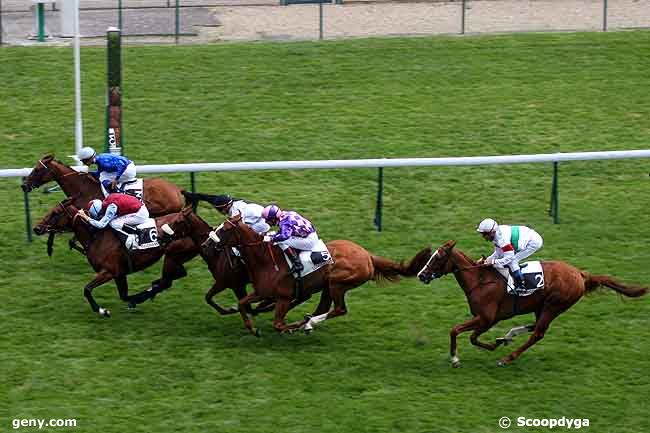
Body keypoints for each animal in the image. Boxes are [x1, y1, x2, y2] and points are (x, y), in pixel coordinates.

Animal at [33, 199, 199, 318]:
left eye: (55, 213)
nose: (36, 228)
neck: (96, 237)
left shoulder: (109, 271)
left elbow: (87, 289)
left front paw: (102, 310)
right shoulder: (119, 273)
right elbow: (124, 295)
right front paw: (134, 299)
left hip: (172, 256)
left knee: (167, 281)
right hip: (175, 257)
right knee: (174, 277)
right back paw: (151, 289)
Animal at [209, 215, 430, 334]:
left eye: (225, 229)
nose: (208, 242)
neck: (265, 260)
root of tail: (368, 256)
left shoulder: (283, 297)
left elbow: (278, 324)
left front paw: (292, 327)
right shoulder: (262, 292)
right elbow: (241, 303)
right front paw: (252, 328)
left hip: (337, 283)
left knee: (339, 309)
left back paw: (308, 323)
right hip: (327, 285)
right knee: (324, 307)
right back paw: (308, 322)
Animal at [416, 240, 648, 364]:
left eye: (437, 258)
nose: (421, 275)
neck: (480, 280)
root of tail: (580, 274)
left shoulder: (487, 318)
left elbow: (458, 331)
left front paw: (456, 359)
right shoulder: (487, 319)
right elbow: (471, 336)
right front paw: (495, 343)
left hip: (554, 305)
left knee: (538, 333)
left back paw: (508, 357)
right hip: (541, 306)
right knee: (535, 327)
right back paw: (507, 337)